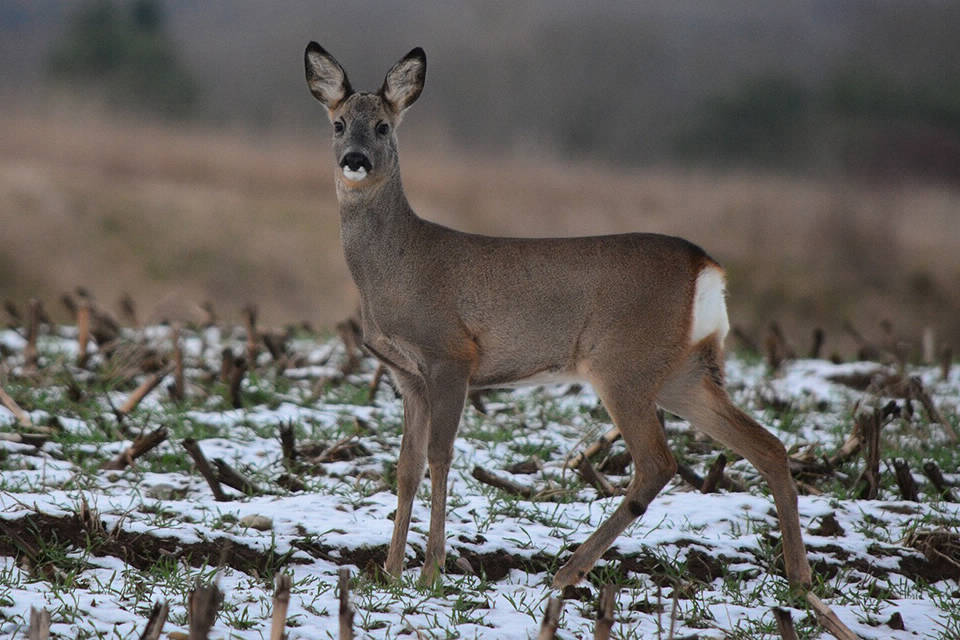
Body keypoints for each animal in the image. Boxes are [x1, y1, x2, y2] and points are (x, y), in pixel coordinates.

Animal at [304, 43, 812, 592]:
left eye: (382, 126)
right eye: (338, 124)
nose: (355, 160)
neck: (397, 268)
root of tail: (706, 267)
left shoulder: (451, 354)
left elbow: (440, 456)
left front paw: (430, 572)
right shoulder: (406, 374)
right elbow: (406, 466)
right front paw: (390, 572)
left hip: (623, 362)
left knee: (658, 462)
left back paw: (568, 571)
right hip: (683, 370)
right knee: (768, 445)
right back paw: (800, 578)